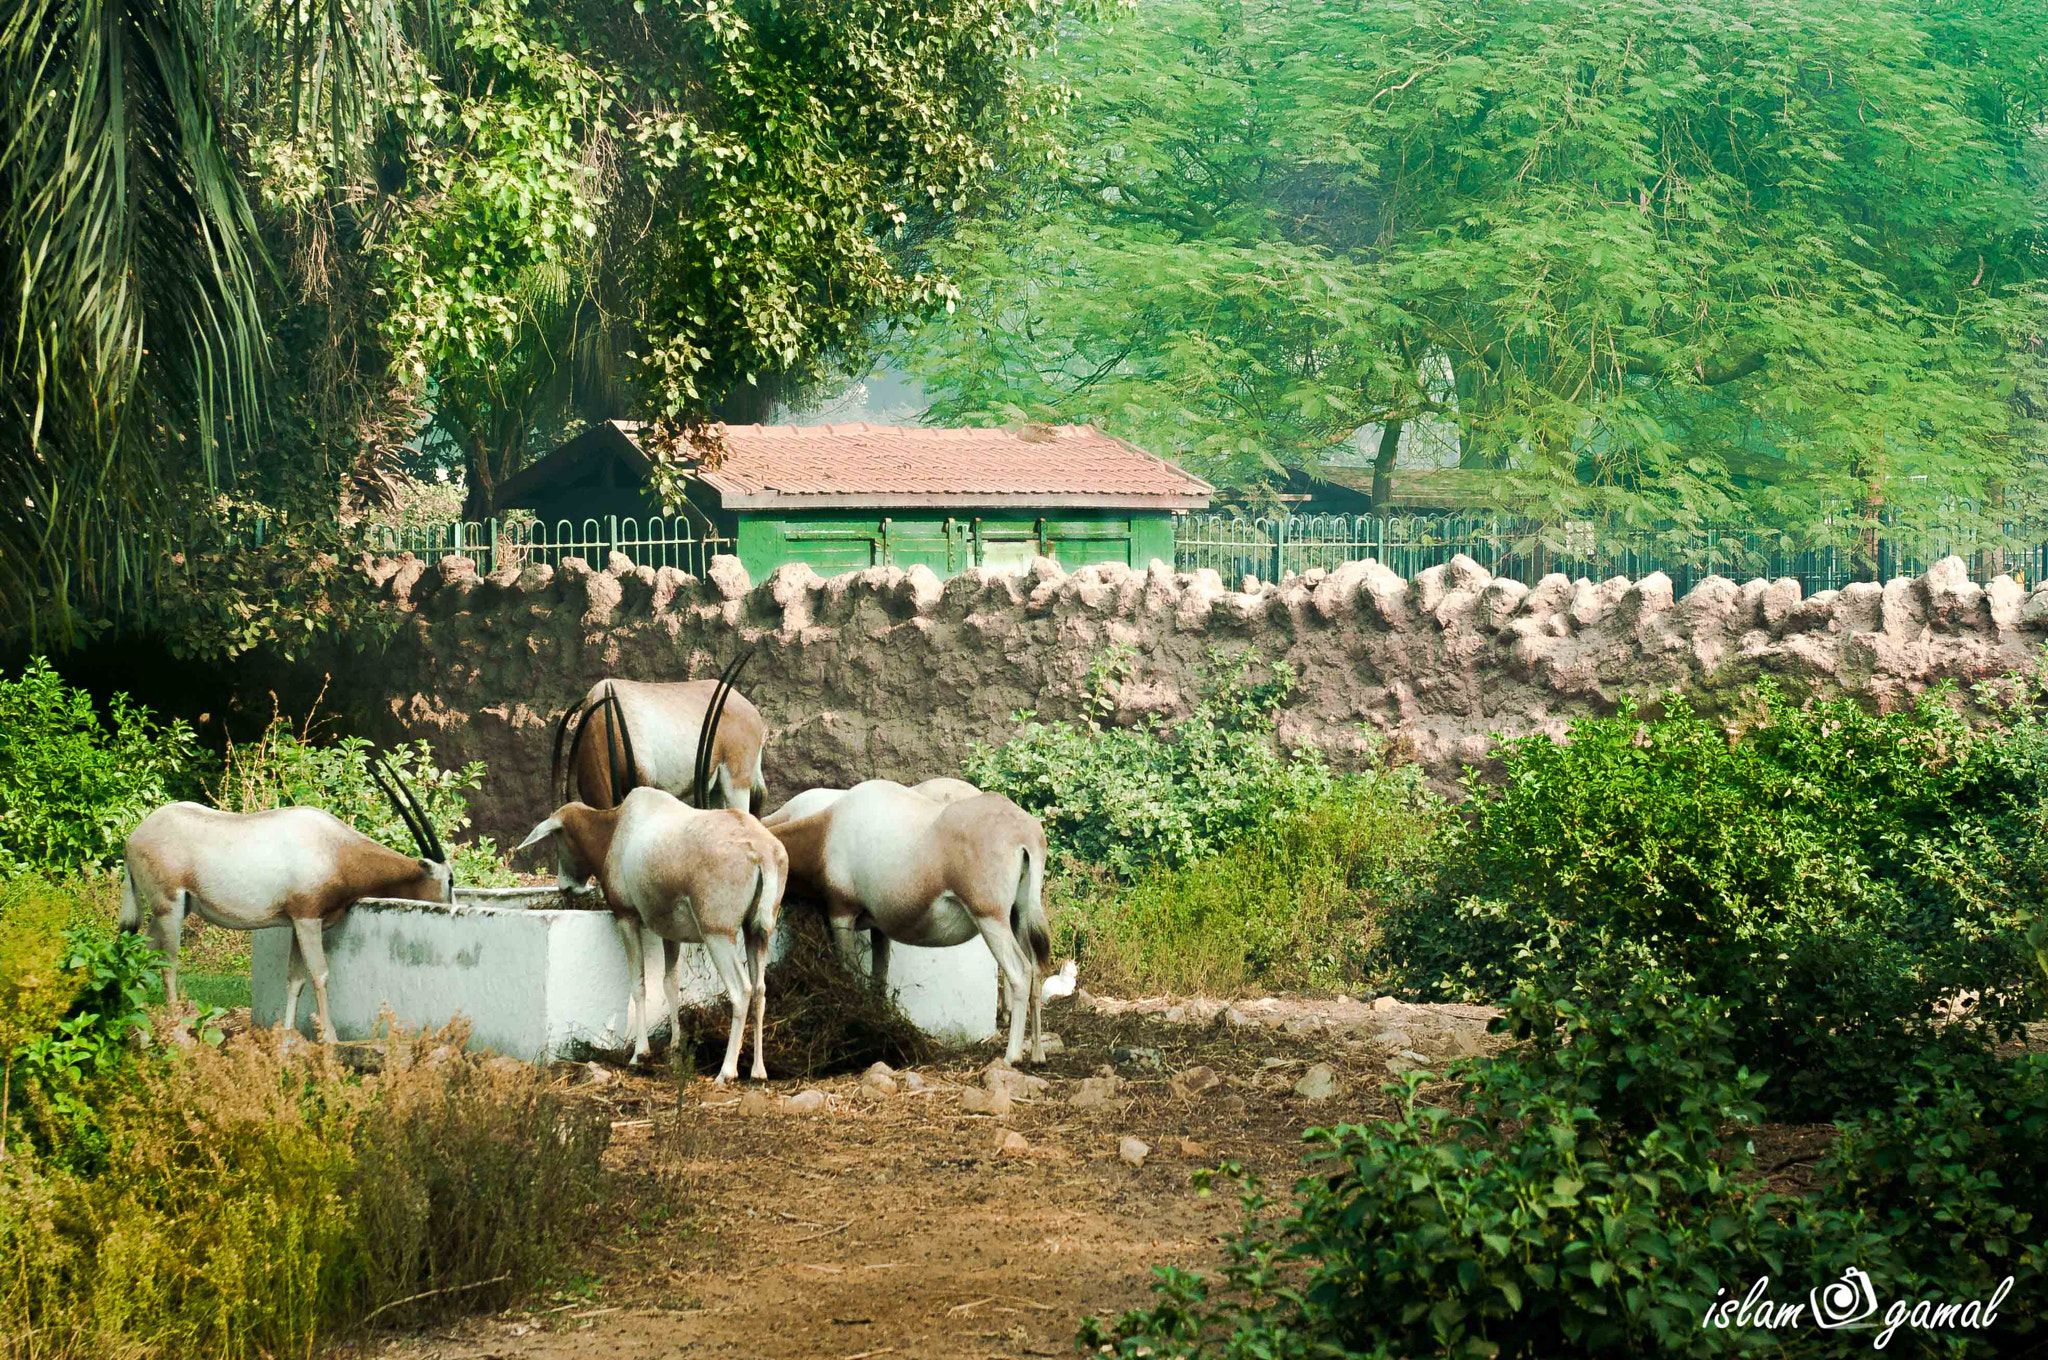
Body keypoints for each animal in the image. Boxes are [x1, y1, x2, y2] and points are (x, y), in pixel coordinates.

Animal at [119, 753, 452, 1040]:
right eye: (449, 880)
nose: (451, 909)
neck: (337, 851)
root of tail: (133, 838)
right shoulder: (307, 920)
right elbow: (320, 975)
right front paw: (330, 1039)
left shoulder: (297, 923)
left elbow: (296, 979)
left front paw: (286, 1039)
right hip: (170, 907)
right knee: (168, 964)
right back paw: (176, 1033)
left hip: (169, 911)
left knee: (140, 954)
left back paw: (141, 1030)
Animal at [770, 782, 1056, 1065]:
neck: (827, 831)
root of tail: (1026, 834)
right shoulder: (879, 927)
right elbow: (879, 980)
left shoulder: (841, 914)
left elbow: (850, 974)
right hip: (1017, 917)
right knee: (1036, 968)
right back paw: (1037, 1055)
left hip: (990, 918)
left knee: (1021, 971)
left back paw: (1011, 1057)